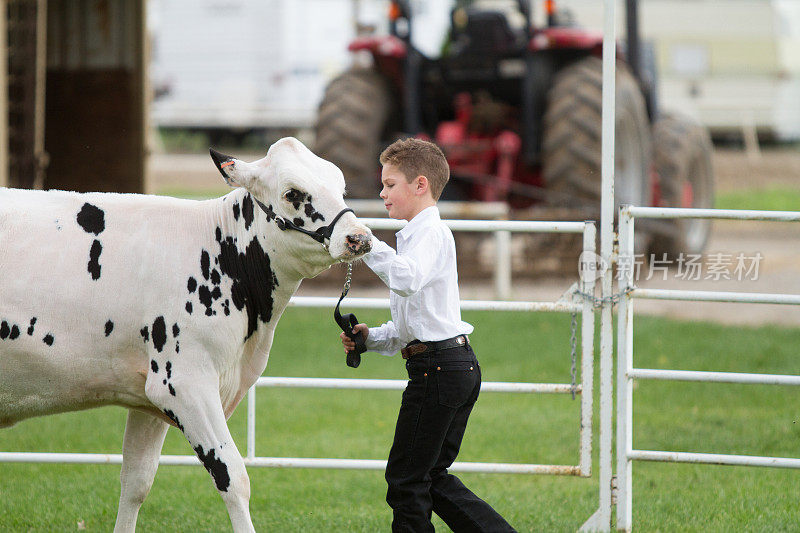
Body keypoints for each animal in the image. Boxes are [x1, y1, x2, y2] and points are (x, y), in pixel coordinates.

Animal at [0, 138, 374, 532]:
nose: (359, 238)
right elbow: (233, 477)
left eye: (340, 185)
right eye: (293, 193)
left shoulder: (145, 395)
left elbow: (135, 481)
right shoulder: (183, 382)